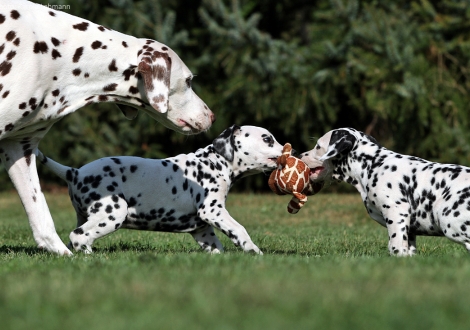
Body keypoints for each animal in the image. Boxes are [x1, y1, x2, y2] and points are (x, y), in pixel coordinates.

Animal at [37, 125, 282, 254]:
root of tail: (75, 172)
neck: (214, 162)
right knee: (79, 236)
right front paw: (254, 252)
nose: (289, 150)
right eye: (267, 139)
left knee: (76, 237)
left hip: (88, 216)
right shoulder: (214, 211)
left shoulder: (202, 228)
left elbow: (215, 247)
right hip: (112, 213)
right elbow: (239, 229)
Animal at [302, 127, 470, 256]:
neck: (374, 164)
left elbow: (396, 245)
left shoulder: (396, 211)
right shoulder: (409, 229)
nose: (300, 155)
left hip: (447, 219)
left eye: (318, 146)